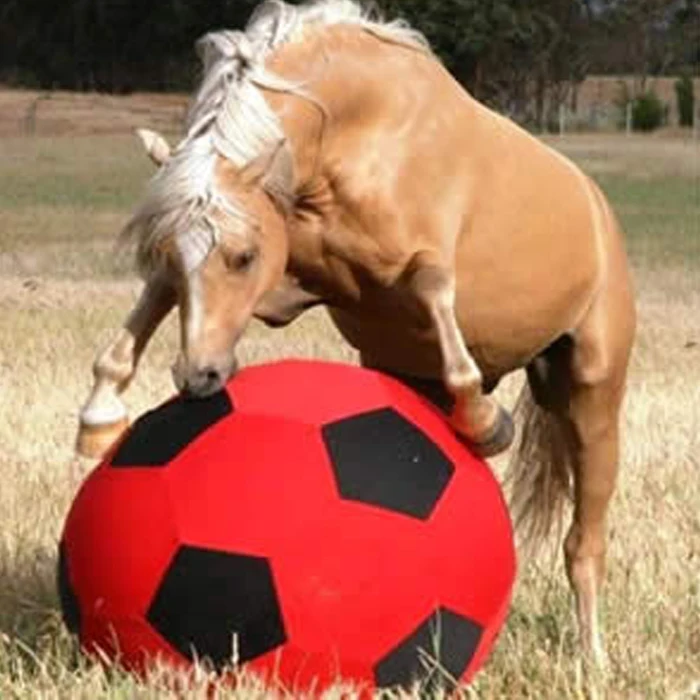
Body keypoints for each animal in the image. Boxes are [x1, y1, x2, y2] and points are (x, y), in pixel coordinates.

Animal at [76, 0, 636, 669]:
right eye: (162, 251)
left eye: (243, 256)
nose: (200, 376)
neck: (349, 130)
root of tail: (597, 208)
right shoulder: (294, 284)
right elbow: (149, 307)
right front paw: (99, 417)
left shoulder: (421, 263)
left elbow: (435, 295)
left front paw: (485, 421)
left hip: (592, 398)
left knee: (585, 543)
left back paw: (593, 659)